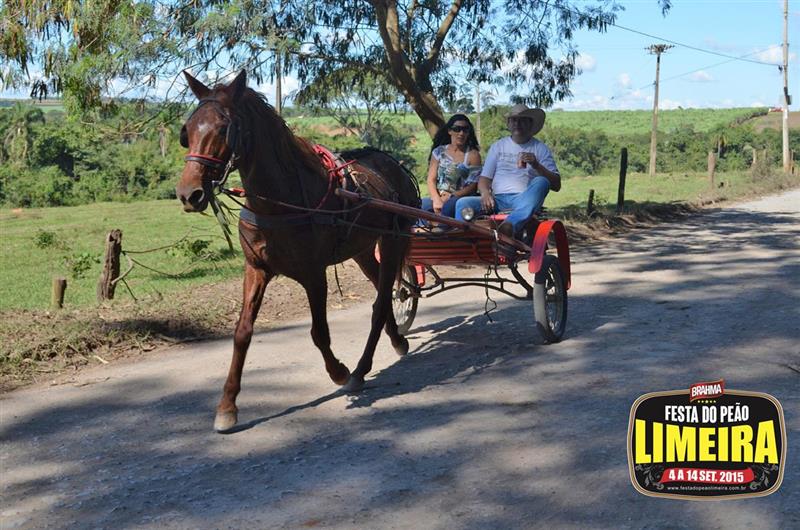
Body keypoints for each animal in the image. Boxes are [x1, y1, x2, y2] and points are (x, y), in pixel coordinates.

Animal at [175, 70, 420, 432]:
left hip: (393, 240)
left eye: (223, 129)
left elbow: (319, 333)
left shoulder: (313, 274)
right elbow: (242, 334)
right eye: (188, 131)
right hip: (362, 249)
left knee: (380, 303)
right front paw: (227, 405)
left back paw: (360, 370)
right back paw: (397, 340)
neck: (279, 201)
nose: (188, 193)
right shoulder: (256, 269)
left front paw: (339, 372)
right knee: (382, 290)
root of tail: (392, 163)